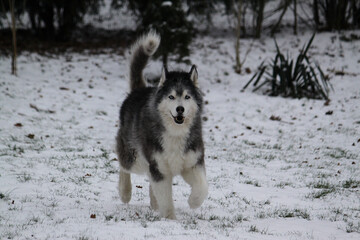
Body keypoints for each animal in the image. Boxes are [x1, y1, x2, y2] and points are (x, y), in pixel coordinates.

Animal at [115, 31, 208, 218]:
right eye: (171, 97)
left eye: (187, 96)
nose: (180, 109)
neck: (175, 132)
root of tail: (138, 90)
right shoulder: (159, 167)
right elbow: (166, 198)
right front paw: (170, 219)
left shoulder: (193, 162)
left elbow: (202, 187)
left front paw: (193, 202)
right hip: (136, 157)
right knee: (124, 166)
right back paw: (125, 191)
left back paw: (153, 203)